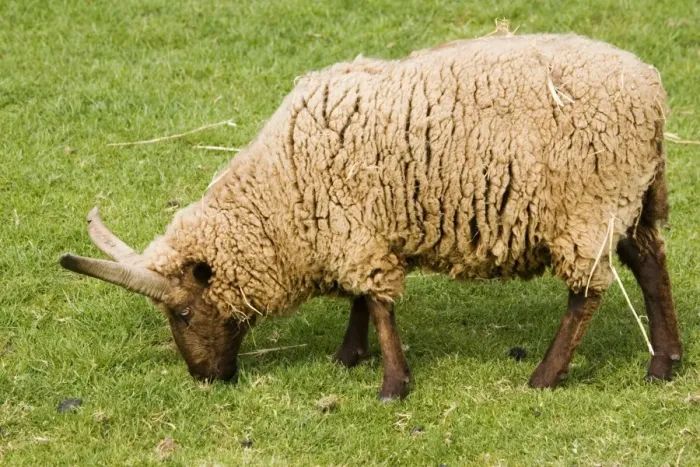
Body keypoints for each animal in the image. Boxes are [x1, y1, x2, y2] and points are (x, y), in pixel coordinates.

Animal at [60, 33, 681, 400]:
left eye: (184, 313)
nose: (204, 378)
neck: (280, 196)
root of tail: (651, 88)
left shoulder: (353, 232)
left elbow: (379, 305)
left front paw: (391, 384)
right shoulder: (354, 229)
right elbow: (362, 299)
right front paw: (347, 357)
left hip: (589, 207)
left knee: (588, 294)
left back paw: (546, 377)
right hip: (632, 197)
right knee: (651, 264)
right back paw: (665, 363)